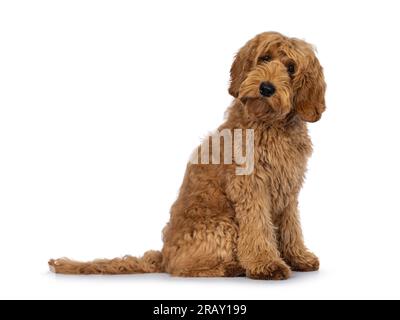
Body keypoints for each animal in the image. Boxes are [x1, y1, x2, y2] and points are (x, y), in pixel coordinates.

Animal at [49, 31, 324, 278]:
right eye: (264, 58)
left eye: (291, 68)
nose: (266, 88)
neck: (269, 125)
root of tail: (162, 256)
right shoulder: (251, 187)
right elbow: (258, 227)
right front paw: (266, 264)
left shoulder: (289, 188)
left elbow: (291, 226)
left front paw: (297, 257)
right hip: (223, 226)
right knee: (182, 268)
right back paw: (230, 268)